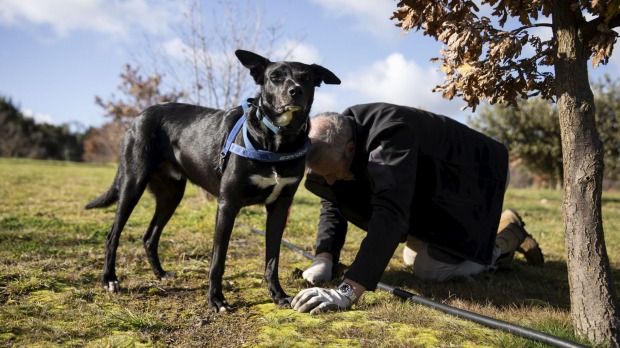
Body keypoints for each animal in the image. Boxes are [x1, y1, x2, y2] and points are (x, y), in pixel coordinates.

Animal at [85, 49, 340, 312]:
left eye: (306, 78)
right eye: (275, 77)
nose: (295, 91)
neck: (277, 141)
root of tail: (139, 115)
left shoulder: (280, 207)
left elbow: (272, 259)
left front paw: (278, 295)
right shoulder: (227, 205)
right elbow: (218, 259)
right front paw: (216, 300)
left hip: (171, 195)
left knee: (149, 236)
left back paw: (160, 273)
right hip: (132, 184)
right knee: (112, 235)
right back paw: (109, 279)